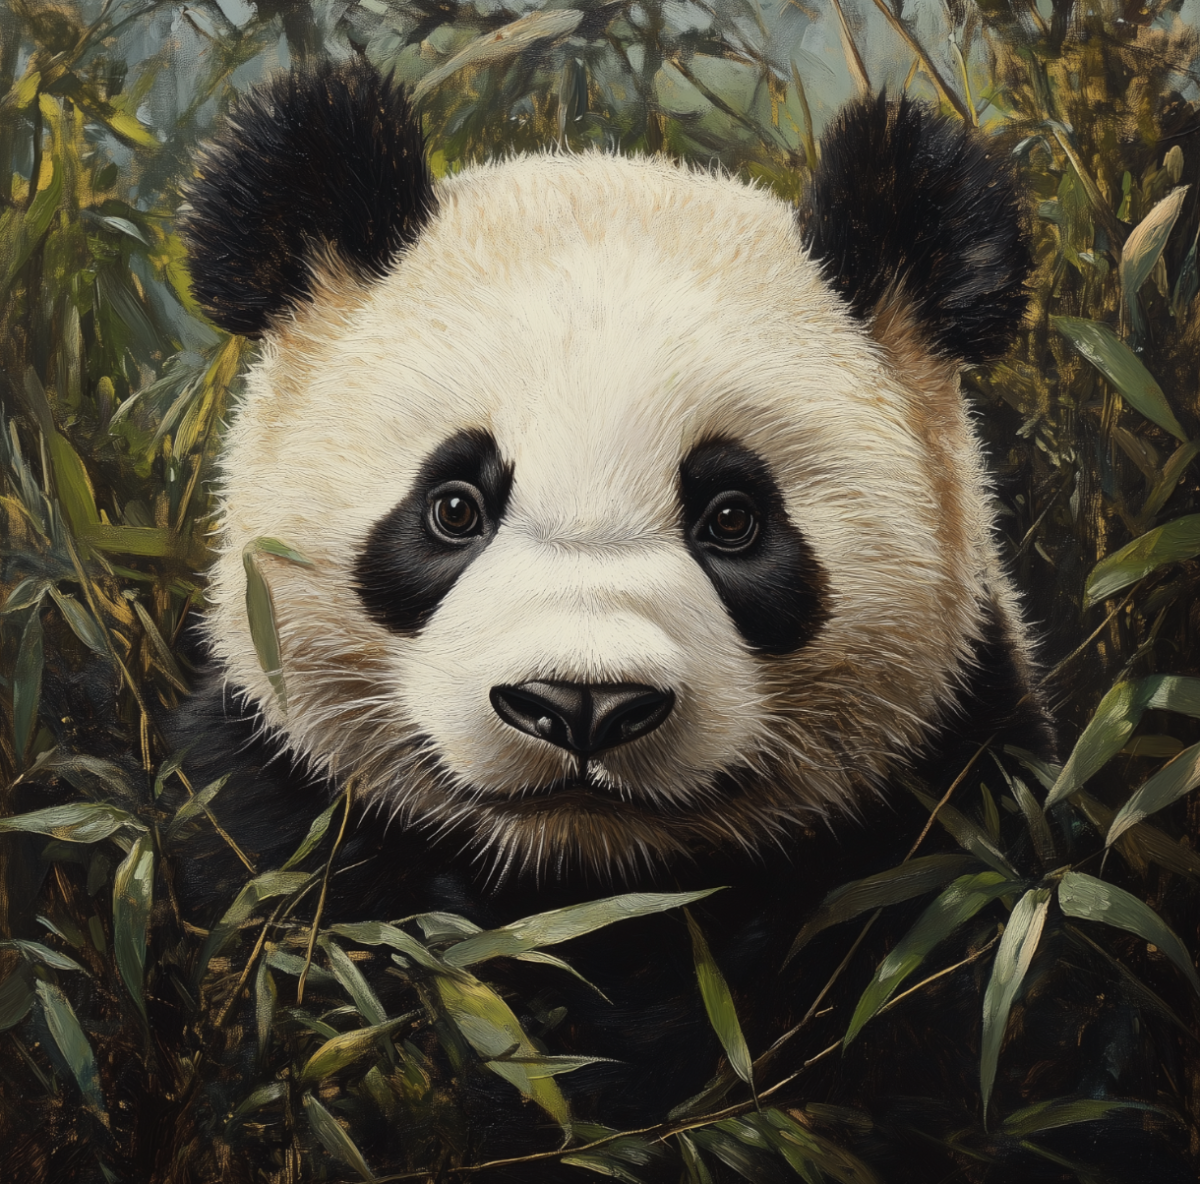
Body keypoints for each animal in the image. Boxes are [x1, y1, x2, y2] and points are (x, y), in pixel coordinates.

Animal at [168, 58, 1183, 1184]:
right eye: (454, 506)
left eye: (732, 517)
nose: (581, 704)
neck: (589, 882)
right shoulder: (275, 819)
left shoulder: (950, 827)